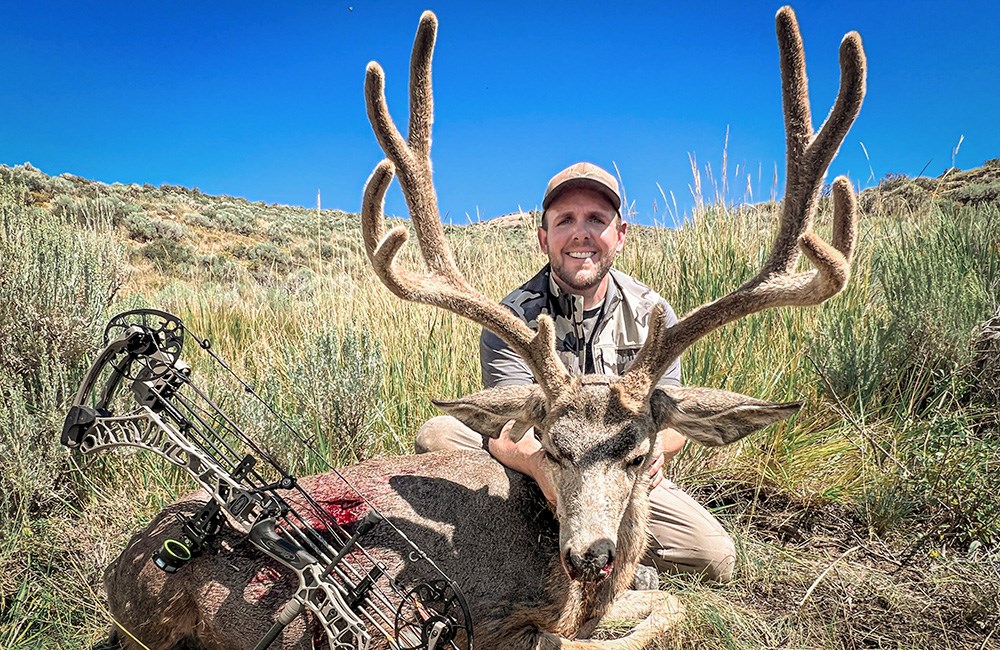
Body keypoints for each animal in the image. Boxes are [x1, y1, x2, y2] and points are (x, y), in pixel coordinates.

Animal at [103, 6, 868, 648]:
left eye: (639, 454)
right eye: (552, 448)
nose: (588, 555)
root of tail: (120, 575)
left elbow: (667, 599)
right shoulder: (505, 623)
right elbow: (628, 623)